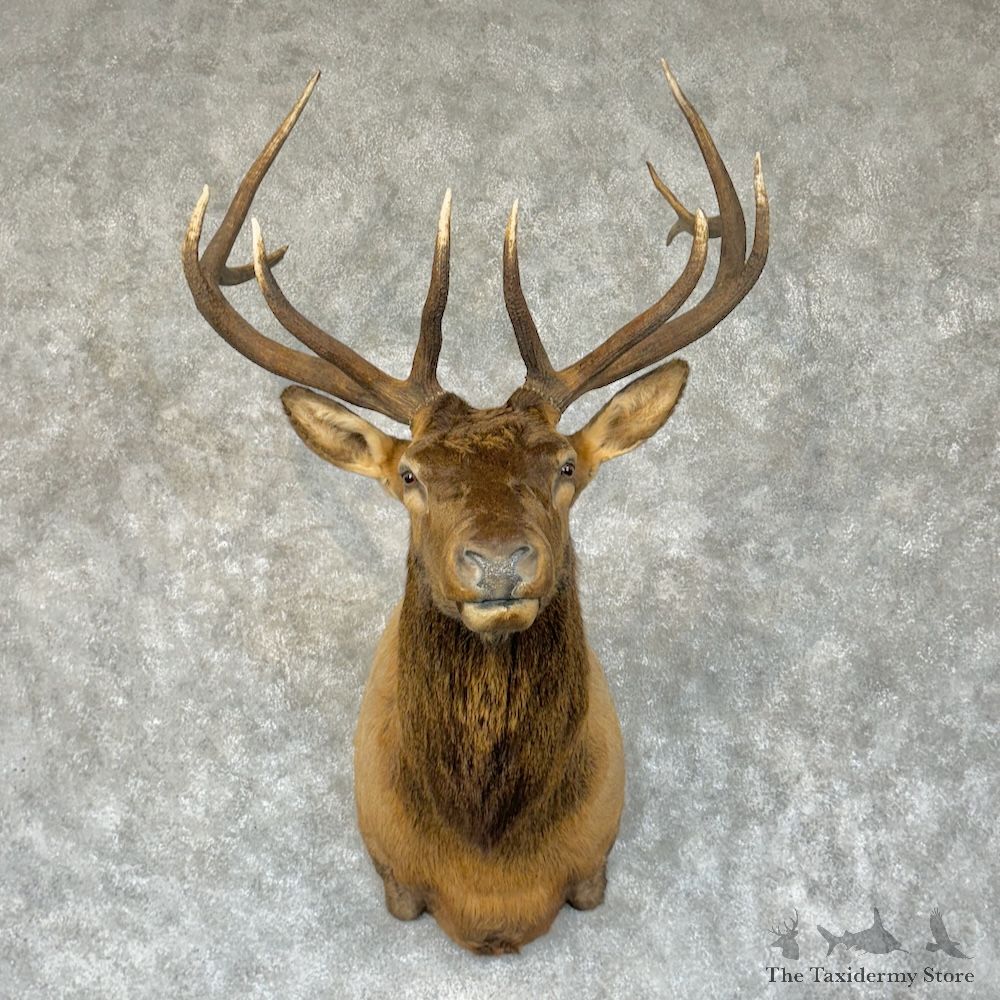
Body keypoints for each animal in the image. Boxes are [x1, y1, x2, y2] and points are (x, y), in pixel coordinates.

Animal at [181, 60, 769, 955]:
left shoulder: (592, 866)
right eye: (411, 475)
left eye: (565, 465)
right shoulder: (394, 876)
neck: (490, 881)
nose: (497, 562)